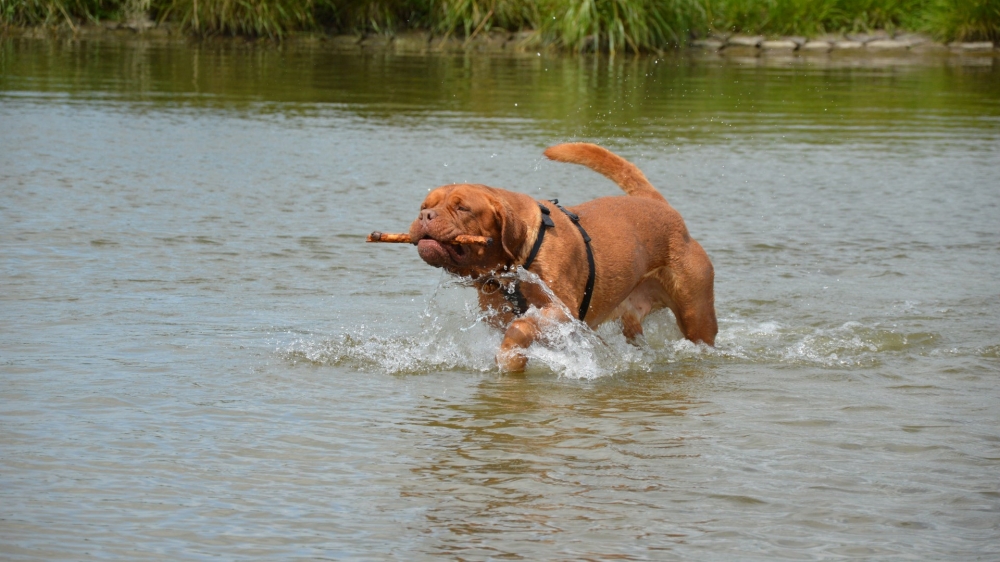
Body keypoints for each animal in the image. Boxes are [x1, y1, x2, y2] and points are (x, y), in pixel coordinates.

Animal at [408, 142, 720, 370]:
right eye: (424, 205)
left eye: (462, 208)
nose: (425, 215)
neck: (517, 261)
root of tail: (659, 204)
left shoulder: (562, 310)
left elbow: (523, 325)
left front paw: (510, 354)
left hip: (696, 315)